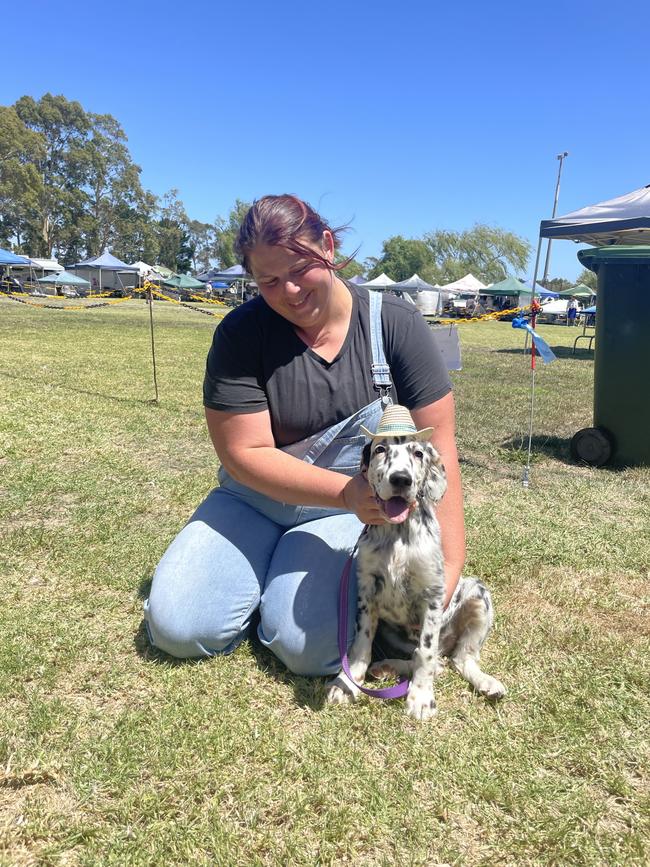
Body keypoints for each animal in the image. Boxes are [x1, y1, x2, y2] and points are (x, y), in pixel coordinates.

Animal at [326, 430, 504, 724]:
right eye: (381, 450)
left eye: (418, 453)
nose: (401, 479)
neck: (398, 533)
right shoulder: (367, 589)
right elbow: (361, 644)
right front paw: (348, 682)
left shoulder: (432, 595)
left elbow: (426, 653)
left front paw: (420, 697)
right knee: (439, 663)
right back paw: (386, 667)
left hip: (478, 594)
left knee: (457, 659)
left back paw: (487, 683)